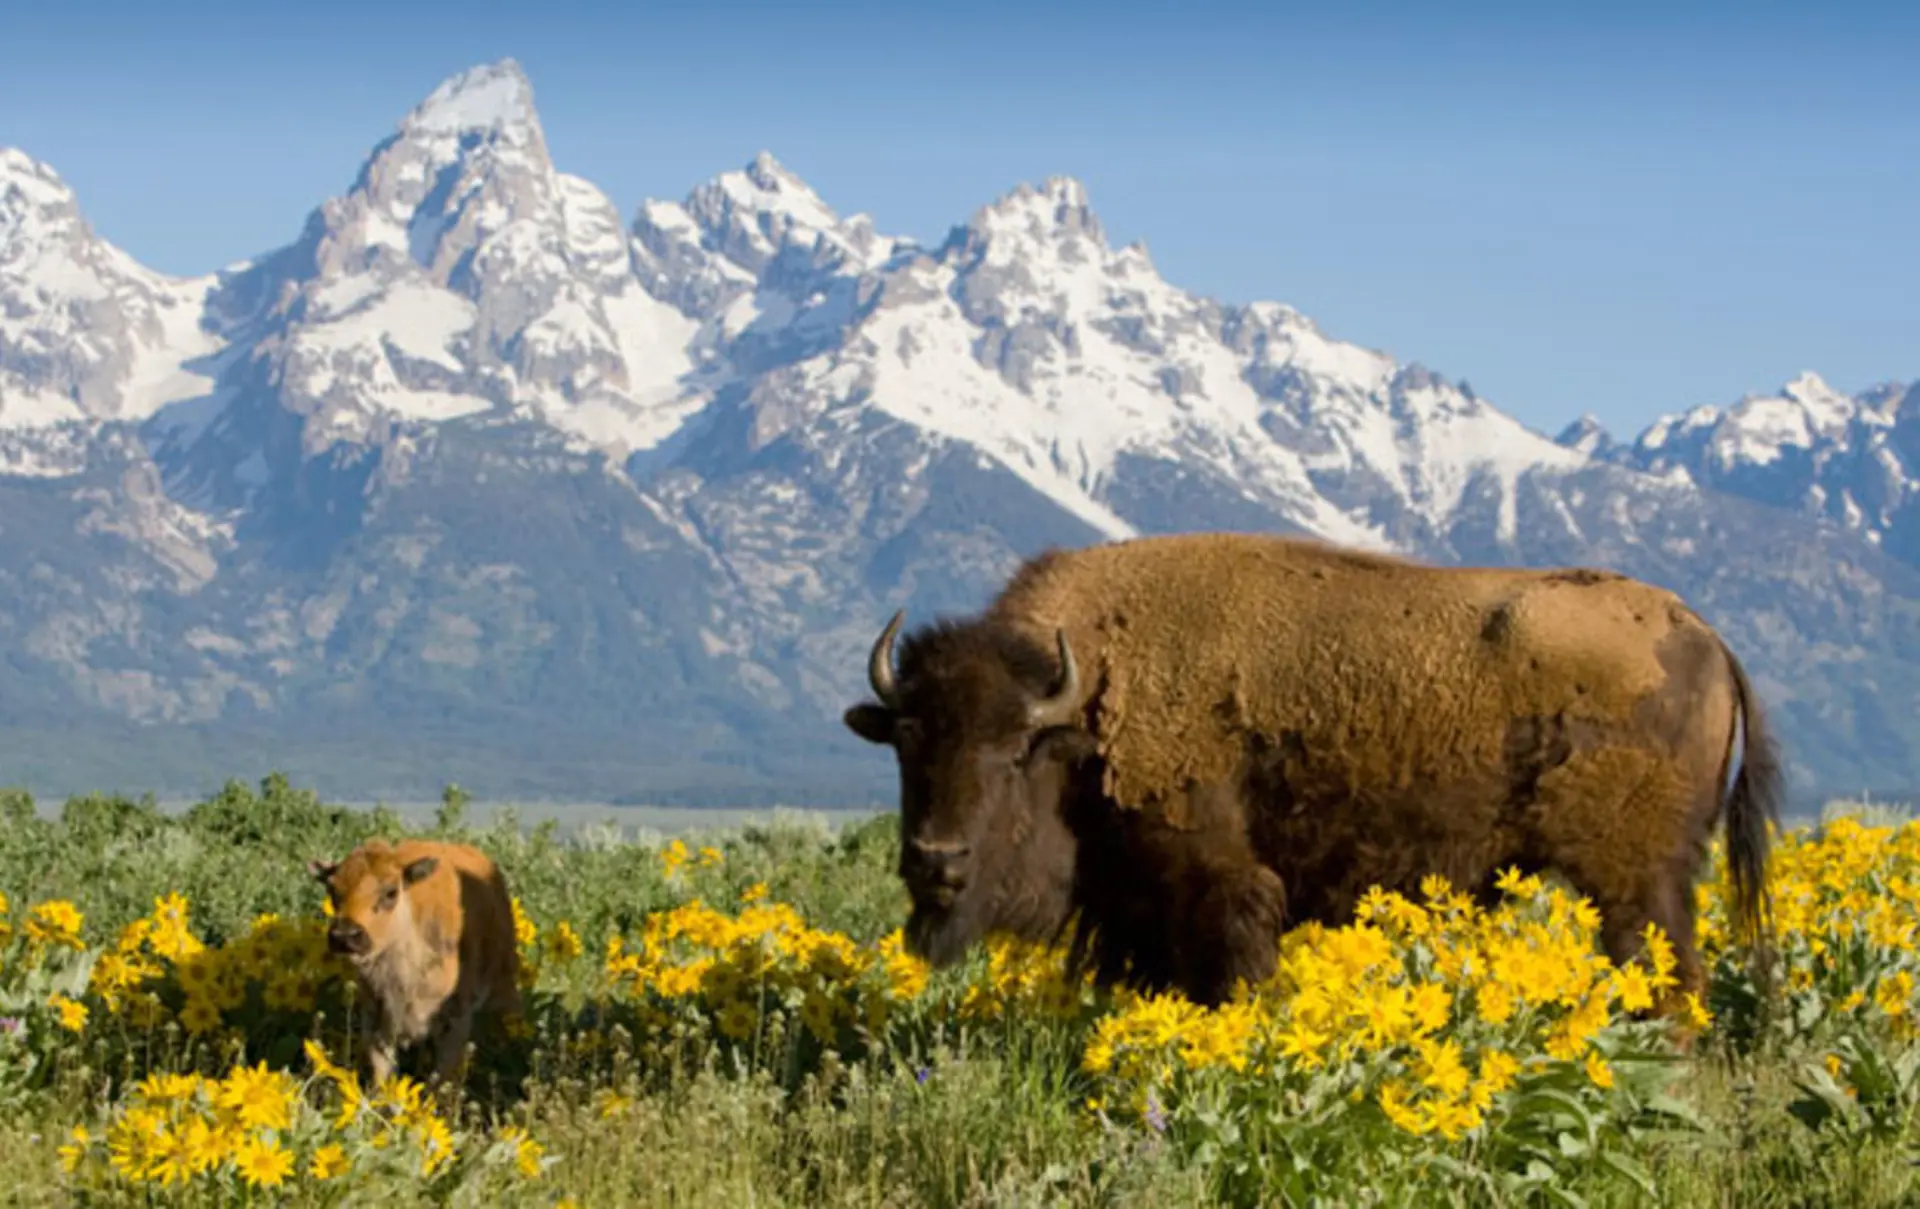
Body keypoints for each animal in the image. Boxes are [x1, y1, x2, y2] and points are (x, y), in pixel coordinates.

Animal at [843, 532, 1781, 1017]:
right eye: (906, 742)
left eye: (1012, 751)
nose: (936, 860)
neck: (1085, 700)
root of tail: (1702, 631)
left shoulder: (1222, 887)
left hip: (1635, 884)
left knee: (1671, 987)